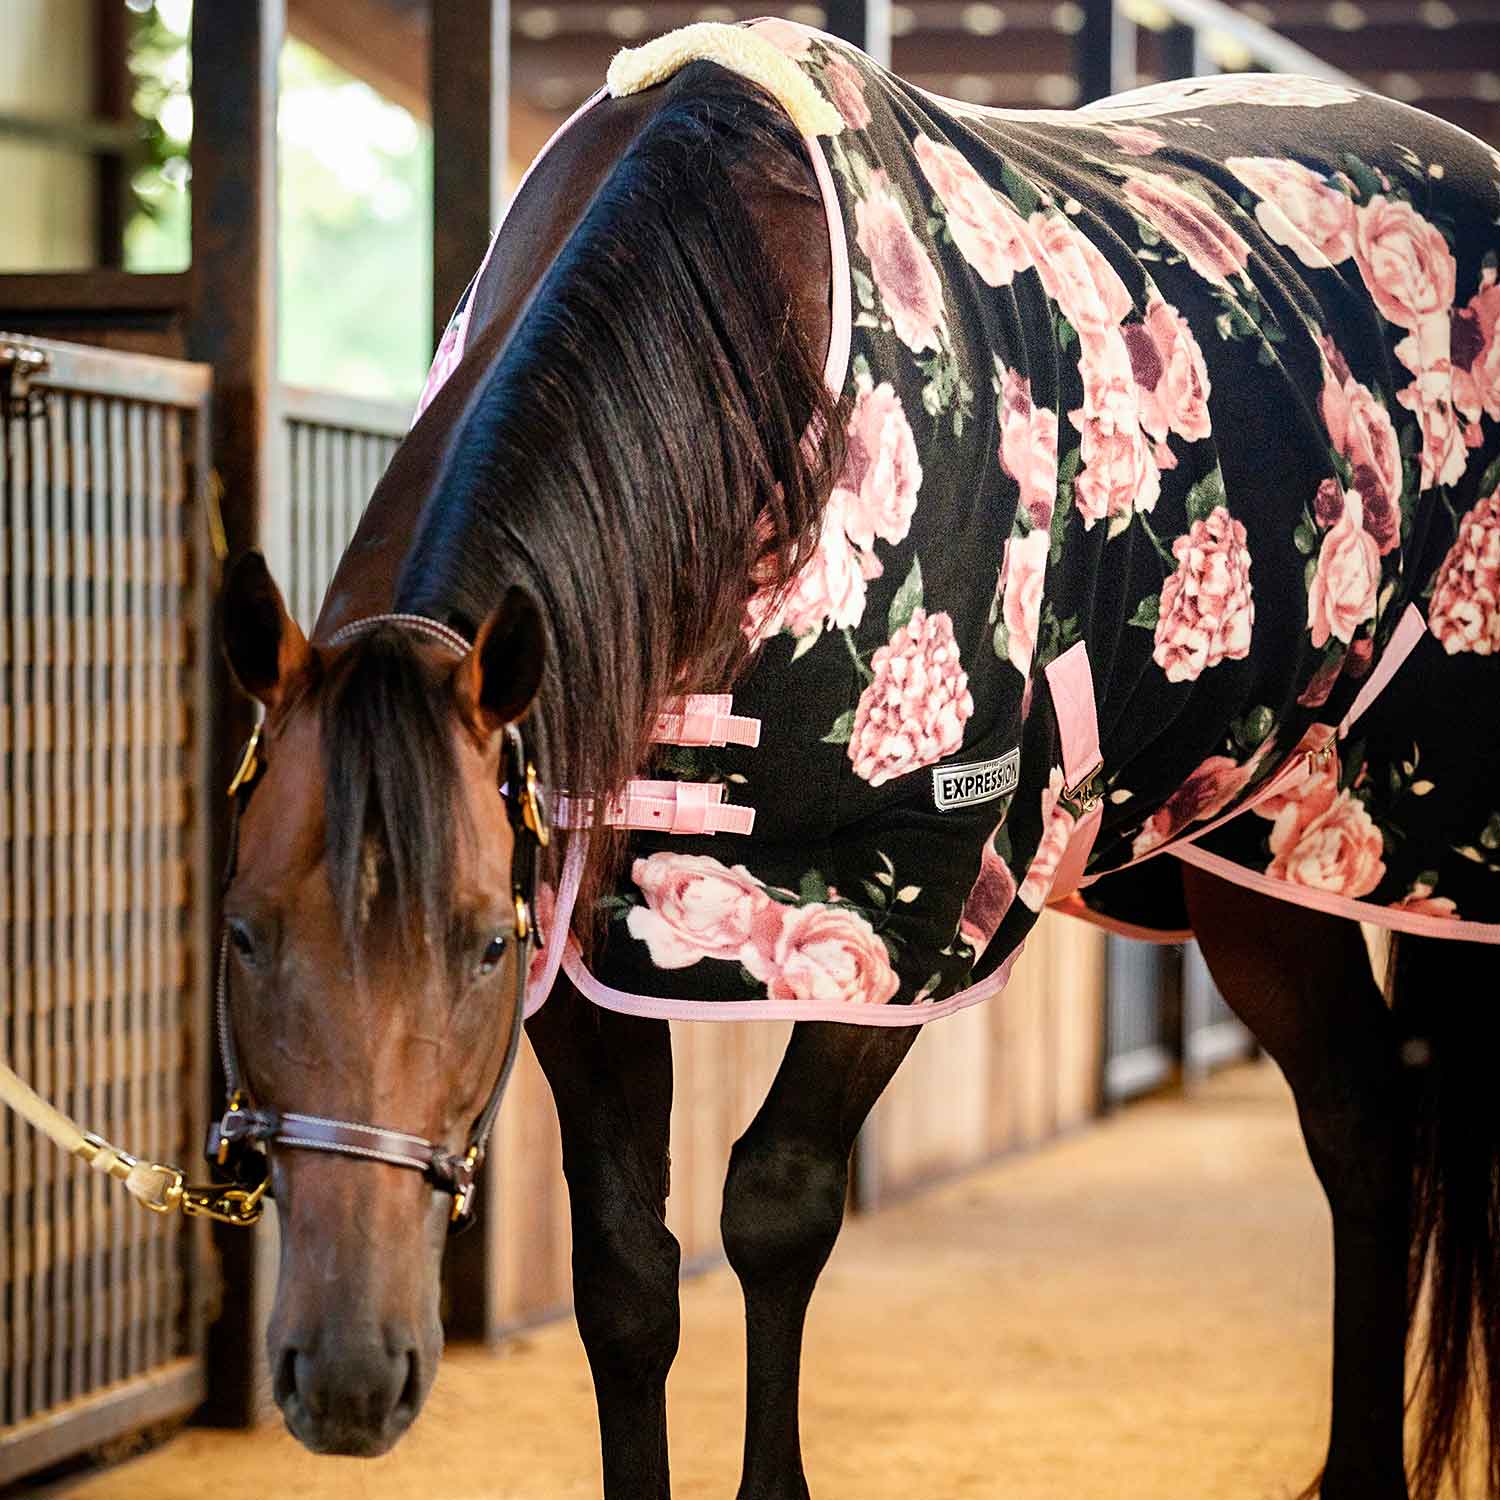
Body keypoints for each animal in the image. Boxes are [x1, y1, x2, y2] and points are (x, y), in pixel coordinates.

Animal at [215, 20, 1499, 1498]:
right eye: (242, 934)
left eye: (483, 944)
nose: (349, 1379)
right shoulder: (588, 921)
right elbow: (625, 1275)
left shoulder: (906, 905)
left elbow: (776, 1209)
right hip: (1264, 857)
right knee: (1363, 1126)